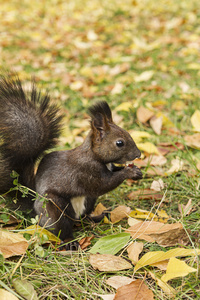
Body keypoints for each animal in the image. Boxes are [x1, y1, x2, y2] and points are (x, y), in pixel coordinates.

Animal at [0, 74, 142, 250]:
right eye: (120, 143)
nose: (138, 154)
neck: (94, 156)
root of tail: (37, 215)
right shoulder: (86, 172)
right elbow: (104, 184)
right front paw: (130, 172)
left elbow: (114, 171)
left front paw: (137, 171)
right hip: (54, 207)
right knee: (61, 228)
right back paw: (69, 242)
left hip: (89, 201)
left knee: (81, 218)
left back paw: (96, 218)